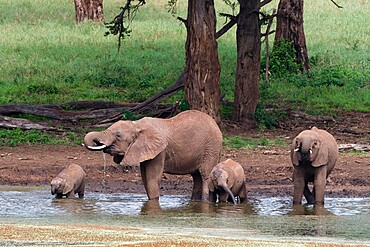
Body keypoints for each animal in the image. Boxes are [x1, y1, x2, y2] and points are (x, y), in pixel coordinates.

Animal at [84, 110, 223, 201]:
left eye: (118, 135)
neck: (137, 125)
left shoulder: (160, 151)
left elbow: (152, 178)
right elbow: (145, 178)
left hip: (211, 149)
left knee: (205, 176)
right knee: (197, 177)